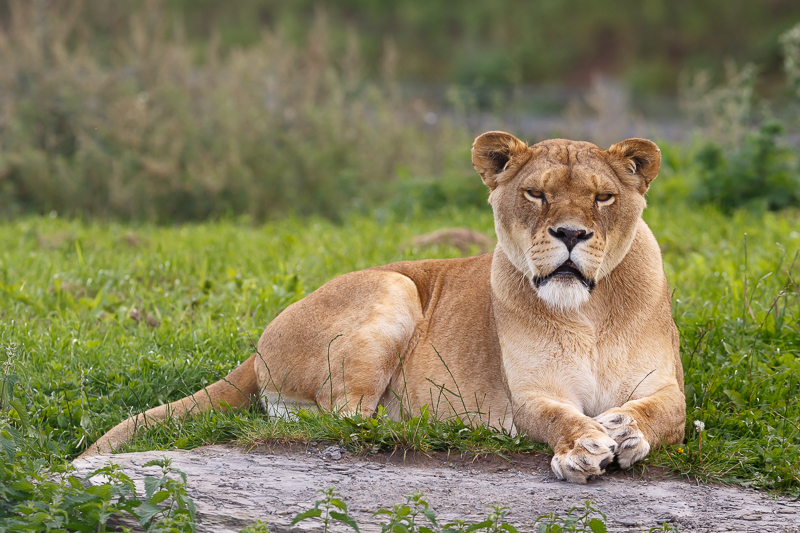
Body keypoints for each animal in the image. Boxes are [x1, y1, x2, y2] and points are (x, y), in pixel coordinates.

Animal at [81, 131, 686, 484]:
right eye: (535, 194)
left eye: (603, 197)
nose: (570, 234)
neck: (588, 312)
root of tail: (254, 351)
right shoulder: (531, 394)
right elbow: (558, 416)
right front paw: (582, 447)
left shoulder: (666, 385)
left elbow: (666, 414)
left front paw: (626, 431)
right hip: (393, 287)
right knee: (345, 418)